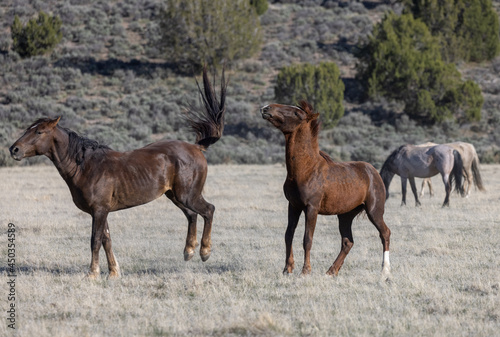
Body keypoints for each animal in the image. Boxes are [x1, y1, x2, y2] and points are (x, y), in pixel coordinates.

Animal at [8, 66, 228, 278]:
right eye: (28, 128)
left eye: (39, 131)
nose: (14, 149)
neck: (86, 166)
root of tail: (196, 147)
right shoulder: (101, 211)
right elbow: (107, 239)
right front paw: (113, 272)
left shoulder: (99, 210)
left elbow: (95, 240)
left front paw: (92, 274)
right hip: (175, 195)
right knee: (192, 215)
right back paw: (188, 251)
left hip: (187, 195)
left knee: (208, 210)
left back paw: (204, 252)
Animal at [262, 100, 390, 278]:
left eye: (296, 113)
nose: (266, 108)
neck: (306, 169)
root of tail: (373, 172)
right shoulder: (293, 206)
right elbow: (288, 235)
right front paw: (287, 269)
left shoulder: (311, 208)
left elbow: (307, 239)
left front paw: (305, 271)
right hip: (345, 216)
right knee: (347, 241)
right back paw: (331, 271)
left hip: (374, 211)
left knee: (384, 233)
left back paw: (385, 270)